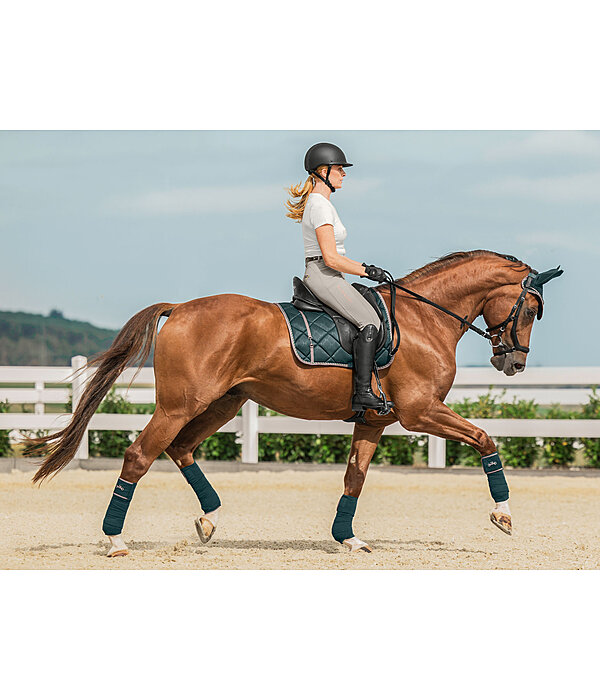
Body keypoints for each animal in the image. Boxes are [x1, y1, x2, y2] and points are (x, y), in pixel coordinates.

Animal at [24, 249, 564, 556]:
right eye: (532, 310)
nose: (514, 364)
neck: (423, 320)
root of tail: (178, 309)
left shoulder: (377, 421)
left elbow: (354, 477)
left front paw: (348, 538)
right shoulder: (419, 412)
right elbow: (486, 438)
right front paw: (503, 516)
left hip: (222, 403)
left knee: (181, 449)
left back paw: (209, 519)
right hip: (180, 405)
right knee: (140, 455)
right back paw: (116, 540)